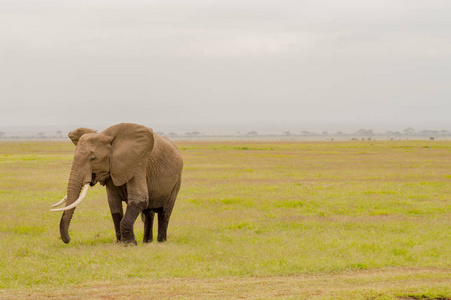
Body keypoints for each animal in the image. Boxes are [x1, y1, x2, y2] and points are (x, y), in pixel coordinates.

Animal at [50, 123, 184, 245]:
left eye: (93, 159)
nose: (68, 239)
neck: (106, 136)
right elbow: (114, 204)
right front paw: (120, 243)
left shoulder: (137, 164)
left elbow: (139, 199)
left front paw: (129, 244)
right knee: (148, 212)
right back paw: (147, 242)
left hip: (176, 181)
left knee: (165, 212)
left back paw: (161, 241)